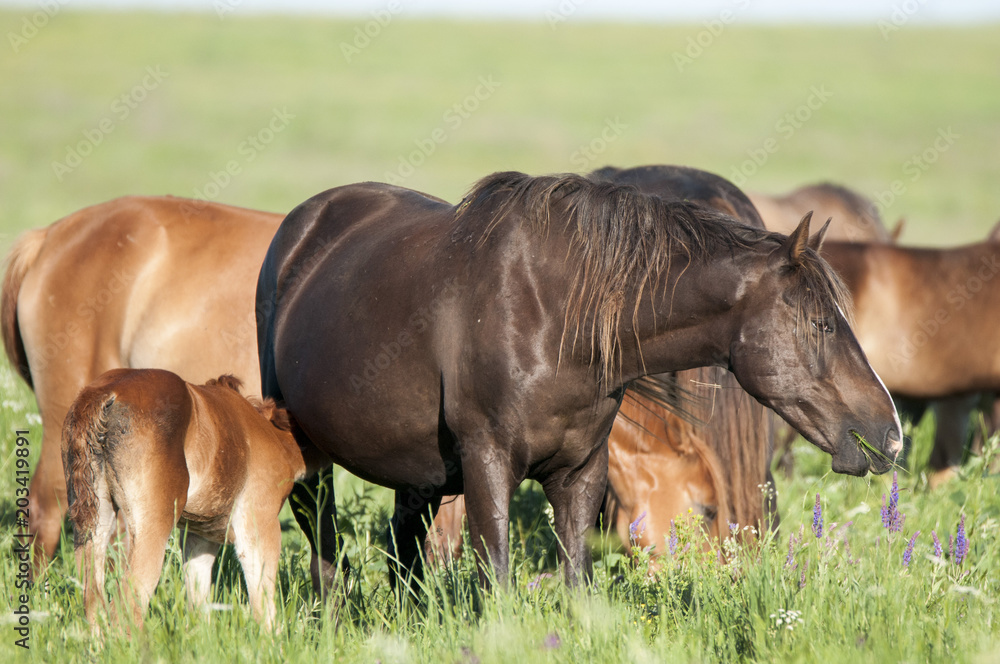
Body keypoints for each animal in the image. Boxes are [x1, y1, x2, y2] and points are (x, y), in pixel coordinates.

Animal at [64, 370, 321, 631]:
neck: (273, 434)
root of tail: (106, 393)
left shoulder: (199, 537)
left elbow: (198, 601)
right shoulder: (259, 524)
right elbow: (263, 604)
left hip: (93, 523)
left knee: (93, 602)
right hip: (152, 526)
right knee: (126, 608)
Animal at [256, 171, 903, 592]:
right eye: (820, 323)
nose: (891, 433)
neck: (554, 315)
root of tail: (303, 225)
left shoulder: (581, 473)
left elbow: (577, 584)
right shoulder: (489, 466)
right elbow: (497, 583)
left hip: (416, 471)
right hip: (307, 449)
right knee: (324, 550)